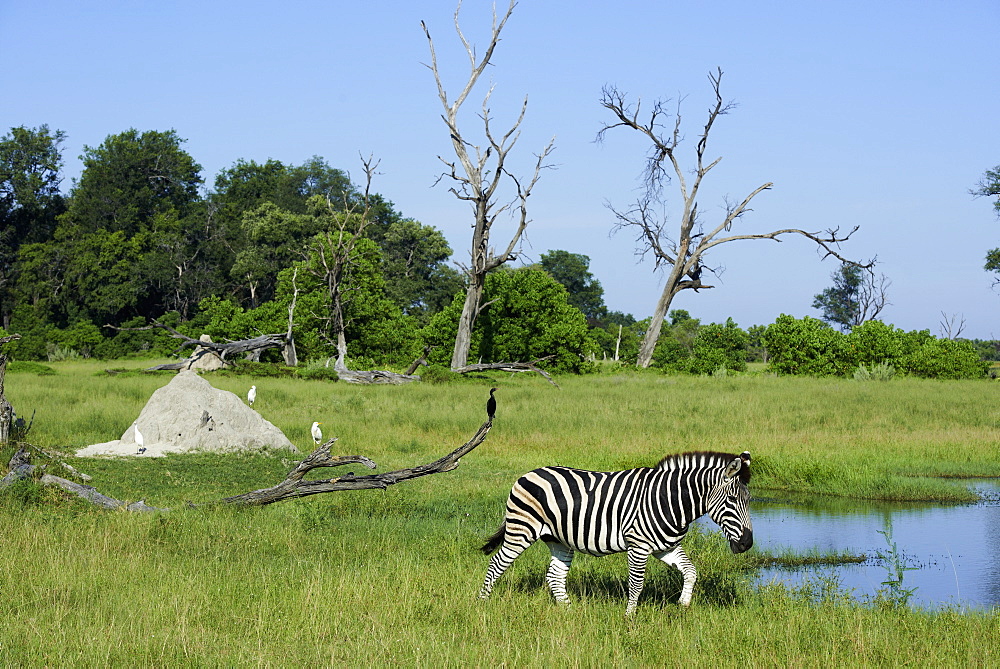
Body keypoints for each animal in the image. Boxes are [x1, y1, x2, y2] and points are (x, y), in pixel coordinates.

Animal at [476, 452, 752, 612]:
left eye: (749, 500)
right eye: (731, 500)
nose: (747, 544)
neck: (670, 501)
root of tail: (528, 473)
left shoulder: (666, 547)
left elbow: (691, 571)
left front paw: (683, 604)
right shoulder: (638, 546)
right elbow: (636, 585)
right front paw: (630, 619)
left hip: (559, 540)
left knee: (554, 576)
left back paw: (570, 612)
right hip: (521, 530)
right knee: (496, 564)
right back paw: (482, 604)